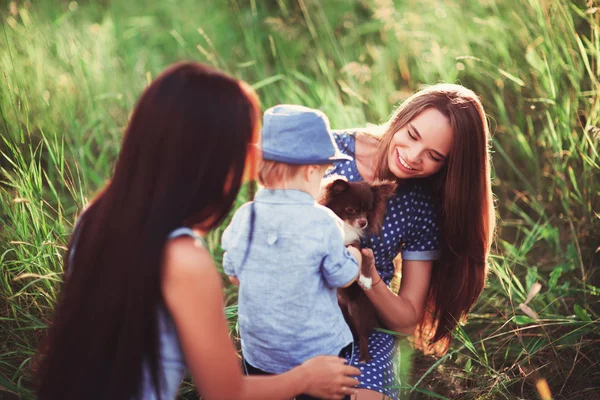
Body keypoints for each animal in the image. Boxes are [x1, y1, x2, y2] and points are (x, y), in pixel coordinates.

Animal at [318, 177, 398, 360]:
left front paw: (366, 279)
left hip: (357, 310)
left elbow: (365, 258)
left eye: (368, 211)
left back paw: (363, 358)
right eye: (351, 209)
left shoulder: (356, 245)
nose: (363, 223)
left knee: (362, 336)